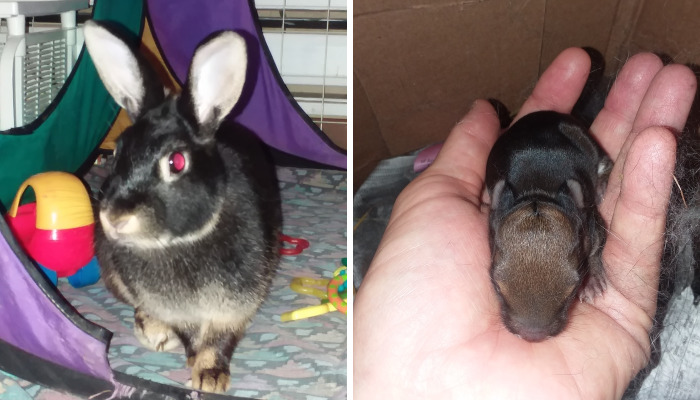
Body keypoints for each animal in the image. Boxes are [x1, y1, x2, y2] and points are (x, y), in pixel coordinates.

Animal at [84, 20, 281, 393]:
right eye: (116, 152)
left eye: (176, 162)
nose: (115, 218)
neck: (176, 244)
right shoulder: (177, 312)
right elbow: (189, 335)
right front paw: (194, 363)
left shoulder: (235, 306)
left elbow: (218, 340)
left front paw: (211, 377)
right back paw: (153, 330)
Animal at [485, 111, 611, 342]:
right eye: (497, 287)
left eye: (573, 290)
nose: (533, 336)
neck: (537, 191)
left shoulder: (591, 223)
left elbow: (596, 247)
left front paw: (593, 282)